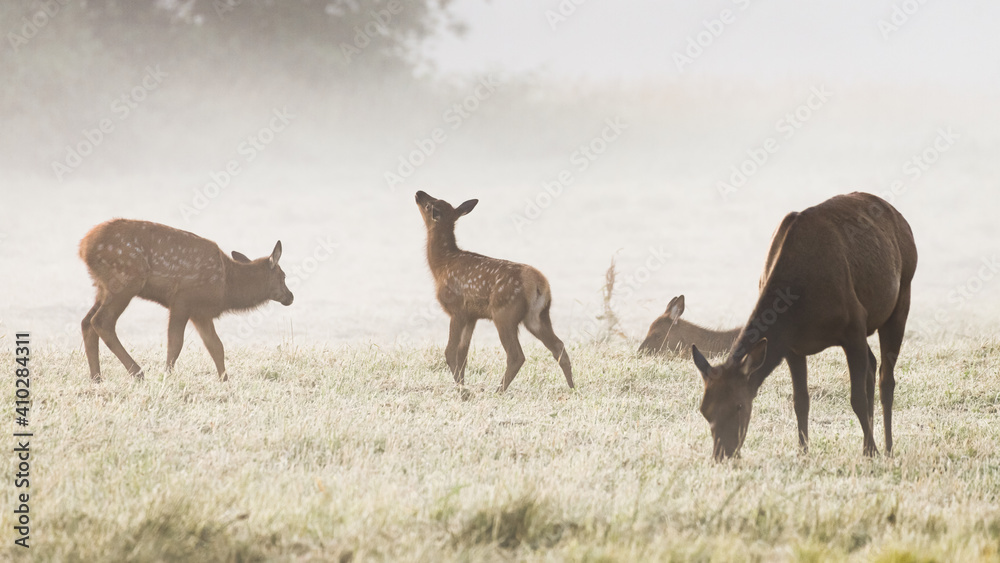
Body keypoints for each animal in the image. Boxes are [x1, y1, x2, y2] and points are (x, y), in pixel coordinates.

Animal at [79, 218, 292, 382]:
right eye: (283, 276)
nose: (290, 296)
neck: (227, 287)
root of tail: (83, 247)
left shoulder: (201, 313)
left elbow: (216, 346)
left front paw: (225, 380)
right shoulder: (183, 300)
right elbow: (175, 343)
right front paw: (167, 376)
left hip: (103, 287)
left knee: (86, 322)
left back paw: (96, 378)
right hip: (126, 280)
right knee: (102, 321)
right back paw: (137, 373)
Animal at [412, 191, 572, 392]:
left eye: (429, 205)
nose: (419, 193)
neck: (442, 265)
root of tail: (538, 282)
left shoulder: (457, 309)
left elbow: (450, 351)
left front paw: (461, 389)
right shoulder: (472, 316)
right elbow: (463, 353)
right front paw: (462, 385)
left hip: (505, 313)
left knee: (516, 355)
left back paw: (498, 391)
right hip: (537, 316)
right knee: (559, 346)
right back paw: (572, 387)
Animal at [692, 194, 916, 462]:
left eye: (739, 406)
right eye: (704, 410)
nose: (722, 454)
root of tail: (902, 220)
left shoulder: (854, 323)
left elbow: (857, 399)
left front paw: (871, 451)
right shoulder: (791, 346)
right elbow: (800, 401)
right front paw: (803, 451)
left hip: (902, 296)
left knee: (886, 379)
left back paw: (888, 448)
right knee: (872, 366)